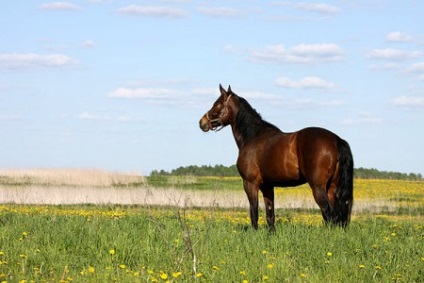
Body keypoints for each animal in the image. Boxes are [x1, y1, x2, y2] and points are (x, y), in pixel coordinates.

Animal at [200, 85, 352, 231]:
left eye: (217, 103)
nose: (202, 122)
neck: (252, 136)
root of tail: (336, 140)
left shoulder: (250, 184)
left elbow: (254, 212)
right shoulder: (267, 186)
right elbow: (270, 214)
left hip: (318, 187)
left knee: (328, 213)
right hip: (331, 187)